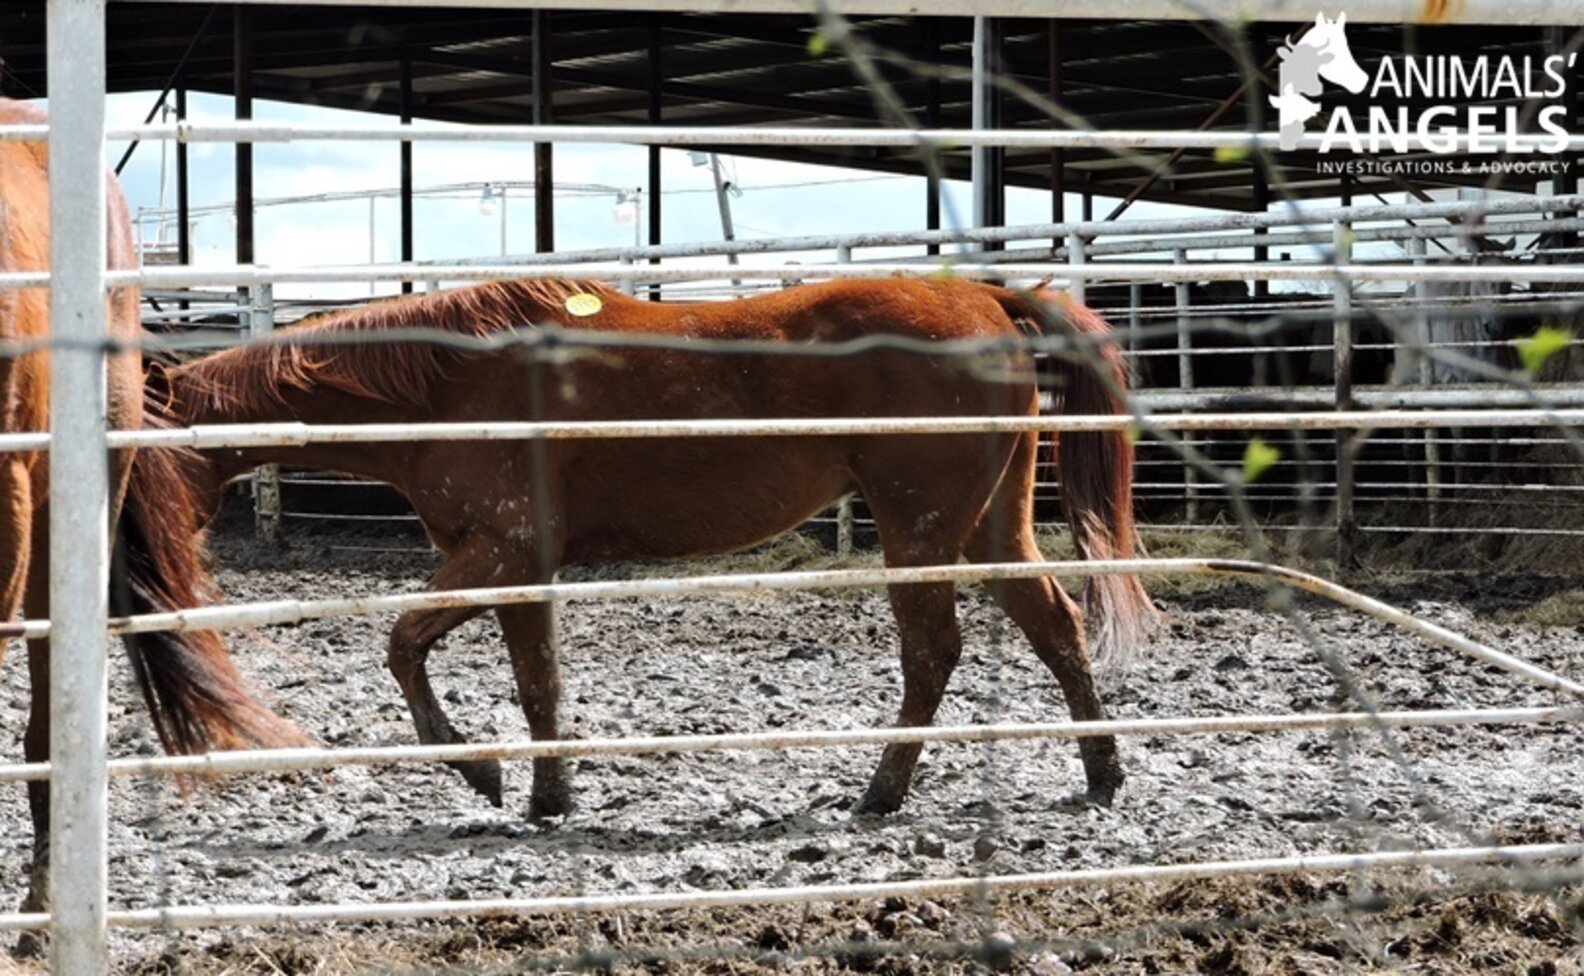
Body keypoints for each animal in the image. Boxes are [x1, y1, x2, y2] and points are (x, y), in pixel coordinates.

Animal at [160, 275, 1158, 818]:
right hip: (993, 524)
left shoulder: (499, 555)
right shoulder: (522, 569)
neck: (448, 380)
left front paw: (479, 771)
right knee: (1054, 626)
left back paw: (880, 792)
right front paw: (547, 796)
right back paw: (1103, 773)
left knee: (932, 652)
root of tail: (983, 295)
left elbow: (403, 645)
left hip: (919, 530)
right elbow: (537, 686)